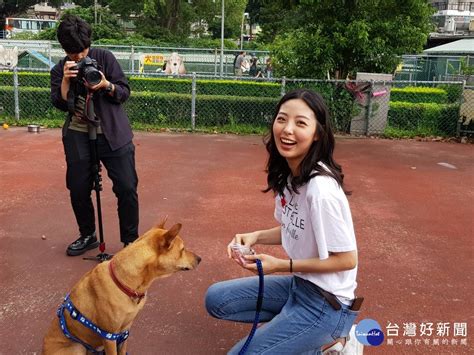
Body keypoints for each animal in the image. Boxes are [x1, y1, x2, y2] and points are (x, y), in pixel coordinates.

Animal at [41, 221, 202, 354]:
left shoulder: (124, 332)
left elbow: (123, 351)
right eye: (183, 249)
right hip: (77, 347)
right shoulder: (109, 336)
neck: (124, 282)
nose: (200, 259)